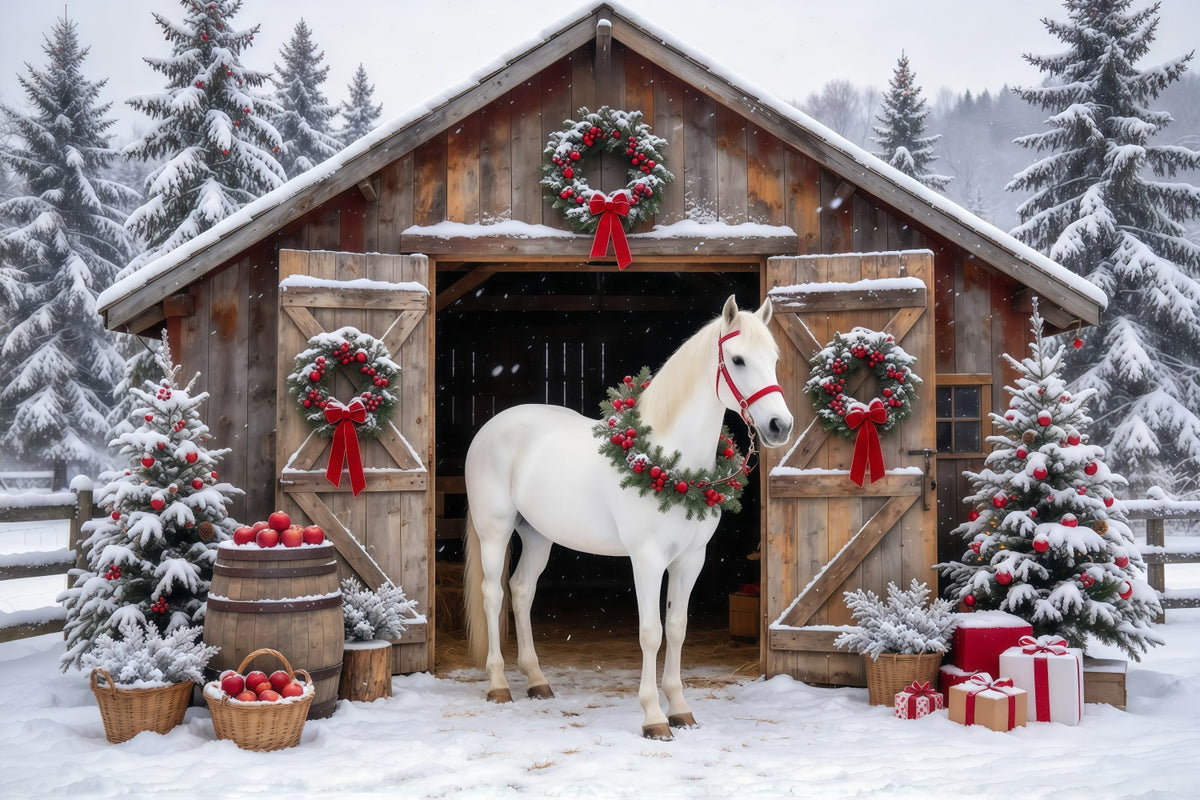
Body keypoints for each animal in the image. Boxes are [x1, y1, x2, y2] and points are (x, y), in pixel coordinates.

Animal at [462, 295, 794, 739]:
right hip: (495, 531)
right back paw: (498, 684)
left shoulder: (690, 560)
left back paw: (536, 680)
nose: (780, 425)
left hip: (537, 535)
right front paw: (653, 716)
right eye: (738, 360)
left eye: (773, 359)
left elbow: (677, 628)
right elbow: (651, 632)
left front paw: (681, 709)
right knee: (493, 594)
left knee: (521, 590)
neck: (671, 463)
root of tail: (491, 428)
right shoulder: (647, 559)